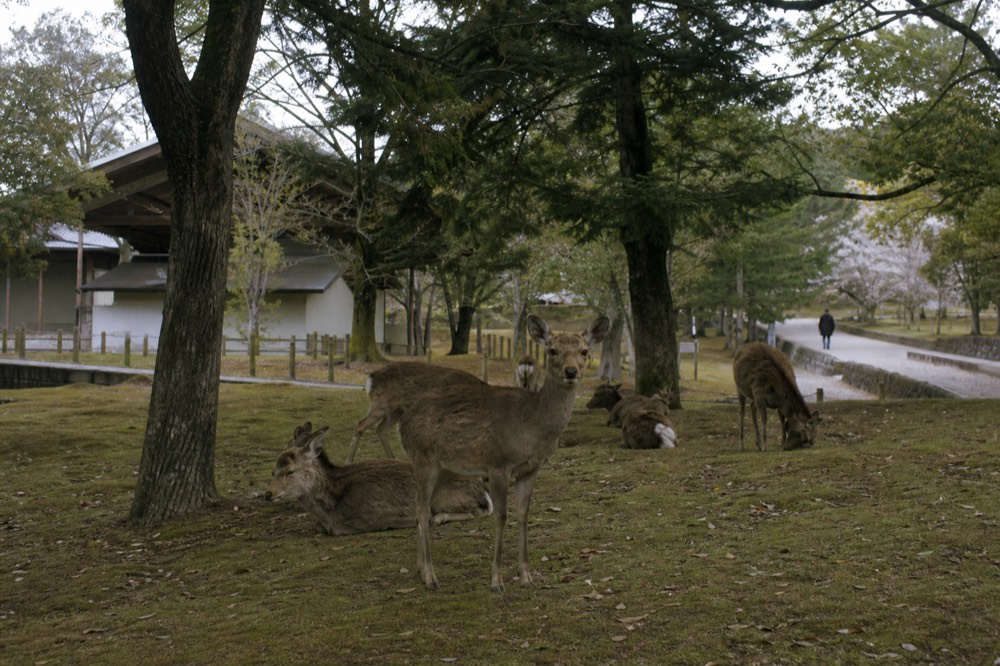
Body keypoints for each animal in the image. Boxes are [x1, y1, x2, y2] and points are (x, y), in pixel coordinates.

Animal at [266, 422, 493, 536]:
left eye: (290, 471)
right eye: (273, 471)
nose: (269, 493)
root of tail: (481, 487)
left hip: (444, 498)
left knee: (484, 509)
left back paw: (437, 518)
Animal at [346, 362, 484, 462]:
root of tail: (370, 379)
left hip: (396, 410)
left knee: (381, 429)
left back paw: (393, 459)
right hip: (381, 404)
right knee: (360, 425)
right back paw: (349, 460)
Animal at [399, 314, 610, 591]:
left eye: (584, 351)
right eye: (552, 350)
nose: (571, 371)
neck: (533, 428)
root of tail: (402, 423)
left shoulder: (531, 469)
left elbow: (523, 515)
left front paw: (527, 577)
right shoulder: (498, 464)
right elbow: (501, 516)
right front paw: (497, 581)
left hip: (446, 467)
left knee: (419, 504)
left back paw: (419, 568)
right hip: (423, 458)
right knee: (422, 509)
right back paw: (430, 577)